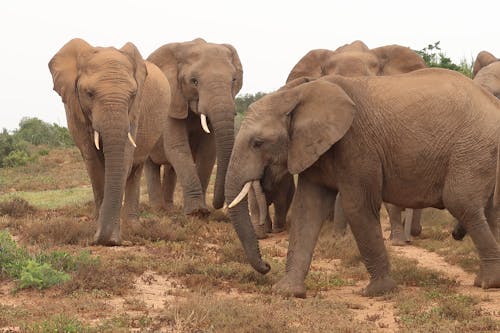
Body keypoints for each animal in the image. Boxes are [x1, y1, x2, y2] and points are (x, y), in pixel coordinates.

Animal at [49, 38, 172, 244]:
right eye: (89, 93)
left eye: (132, 95)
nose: (107, 240)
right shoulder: (75, 108)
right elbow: (93, 161)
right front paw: (97, 229)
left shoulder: (135, 110)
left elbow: (125, 158)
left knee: (136, 168)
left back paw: (132, 225)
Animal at [144, 38, 243, 213]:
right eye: (194, 81)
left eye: (234, 80)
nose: (217, 206)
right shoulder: (172, 98)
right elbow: (177, 146)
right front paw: (196, 212)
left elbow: (208, 151)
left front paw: (202, 212)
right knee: (151, 164)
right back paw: (158, 209)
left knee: (171, 167)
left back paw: (170, 208)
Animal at [225, 68, 500, 296]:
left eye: (257, 143)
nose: (266, 266)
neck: (298, 92)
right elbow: (307, 208)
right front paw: (287, 292)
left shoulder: (357, 144)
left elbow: (358, 206)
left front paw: (379, 292)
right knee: (489, 211)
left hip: (472, 147)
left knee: (461, 203)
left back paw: (488, 283)